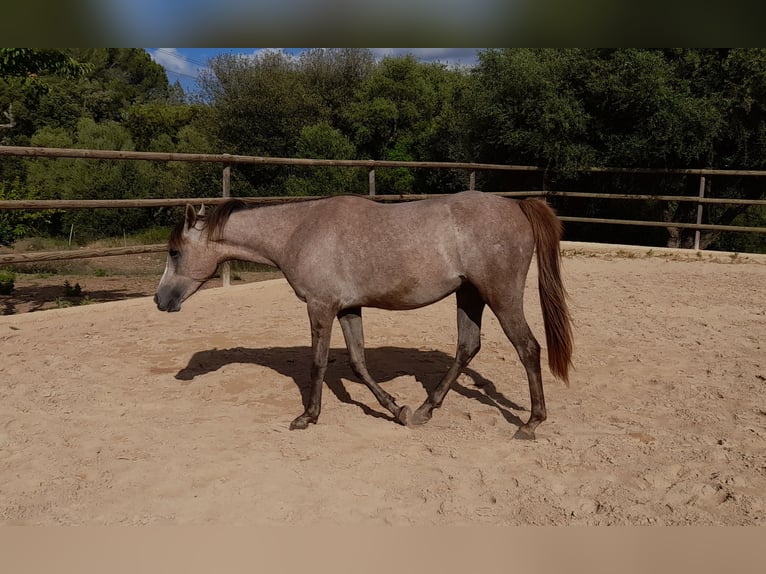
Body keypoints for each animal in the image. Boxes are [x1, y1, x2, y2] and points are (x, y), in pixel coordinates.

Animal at [154, 191, 573, 440]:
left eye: (175, 252)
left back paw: (531, 423)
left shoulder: (320, 307)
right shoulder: (348, 309)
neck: (299, 231)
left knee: (528, 348)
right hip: (469, 295)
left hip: (500, 296)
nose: (160, 300)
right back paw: (424, 411)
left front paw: (307, 417)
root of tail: (516, 205)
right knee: (467, 347)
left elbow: (318, 363)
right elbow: (357, 362)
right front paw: (397, 409)